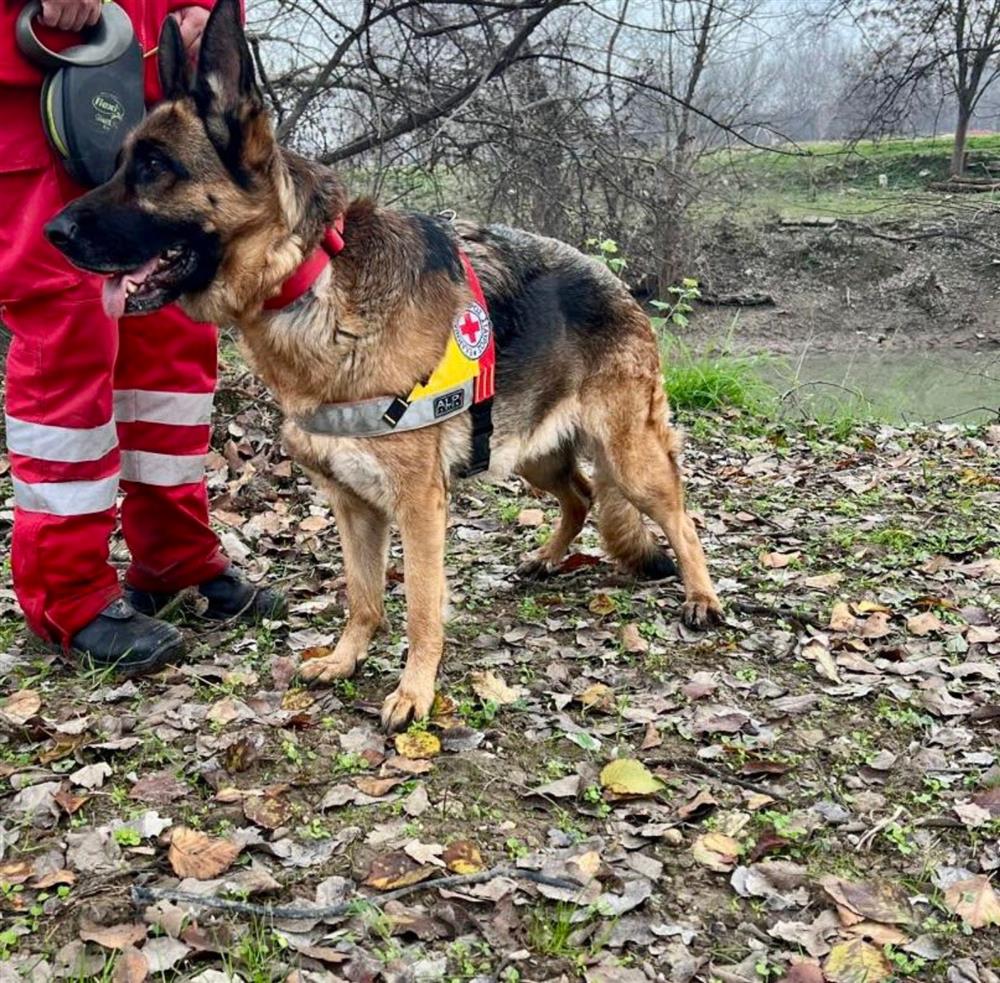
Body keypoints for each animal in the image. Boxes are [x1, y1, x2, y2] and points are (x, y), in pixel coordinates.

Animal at [47, 0, 724, 728]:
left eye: (154, 167)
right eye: (121, 162)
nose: (53, 233)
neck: (309, 277)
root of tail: (617, 281)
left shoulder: (418, 503)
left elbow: (423, 604)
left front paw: (415, 691)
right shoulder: (352, 504)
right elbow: (364, 595)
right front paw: (346, 659)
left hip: (629, 455)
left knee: (679, 517)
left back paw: (702, 597)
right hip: (529, 450)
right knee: (581, 494)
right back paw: (546, 557)